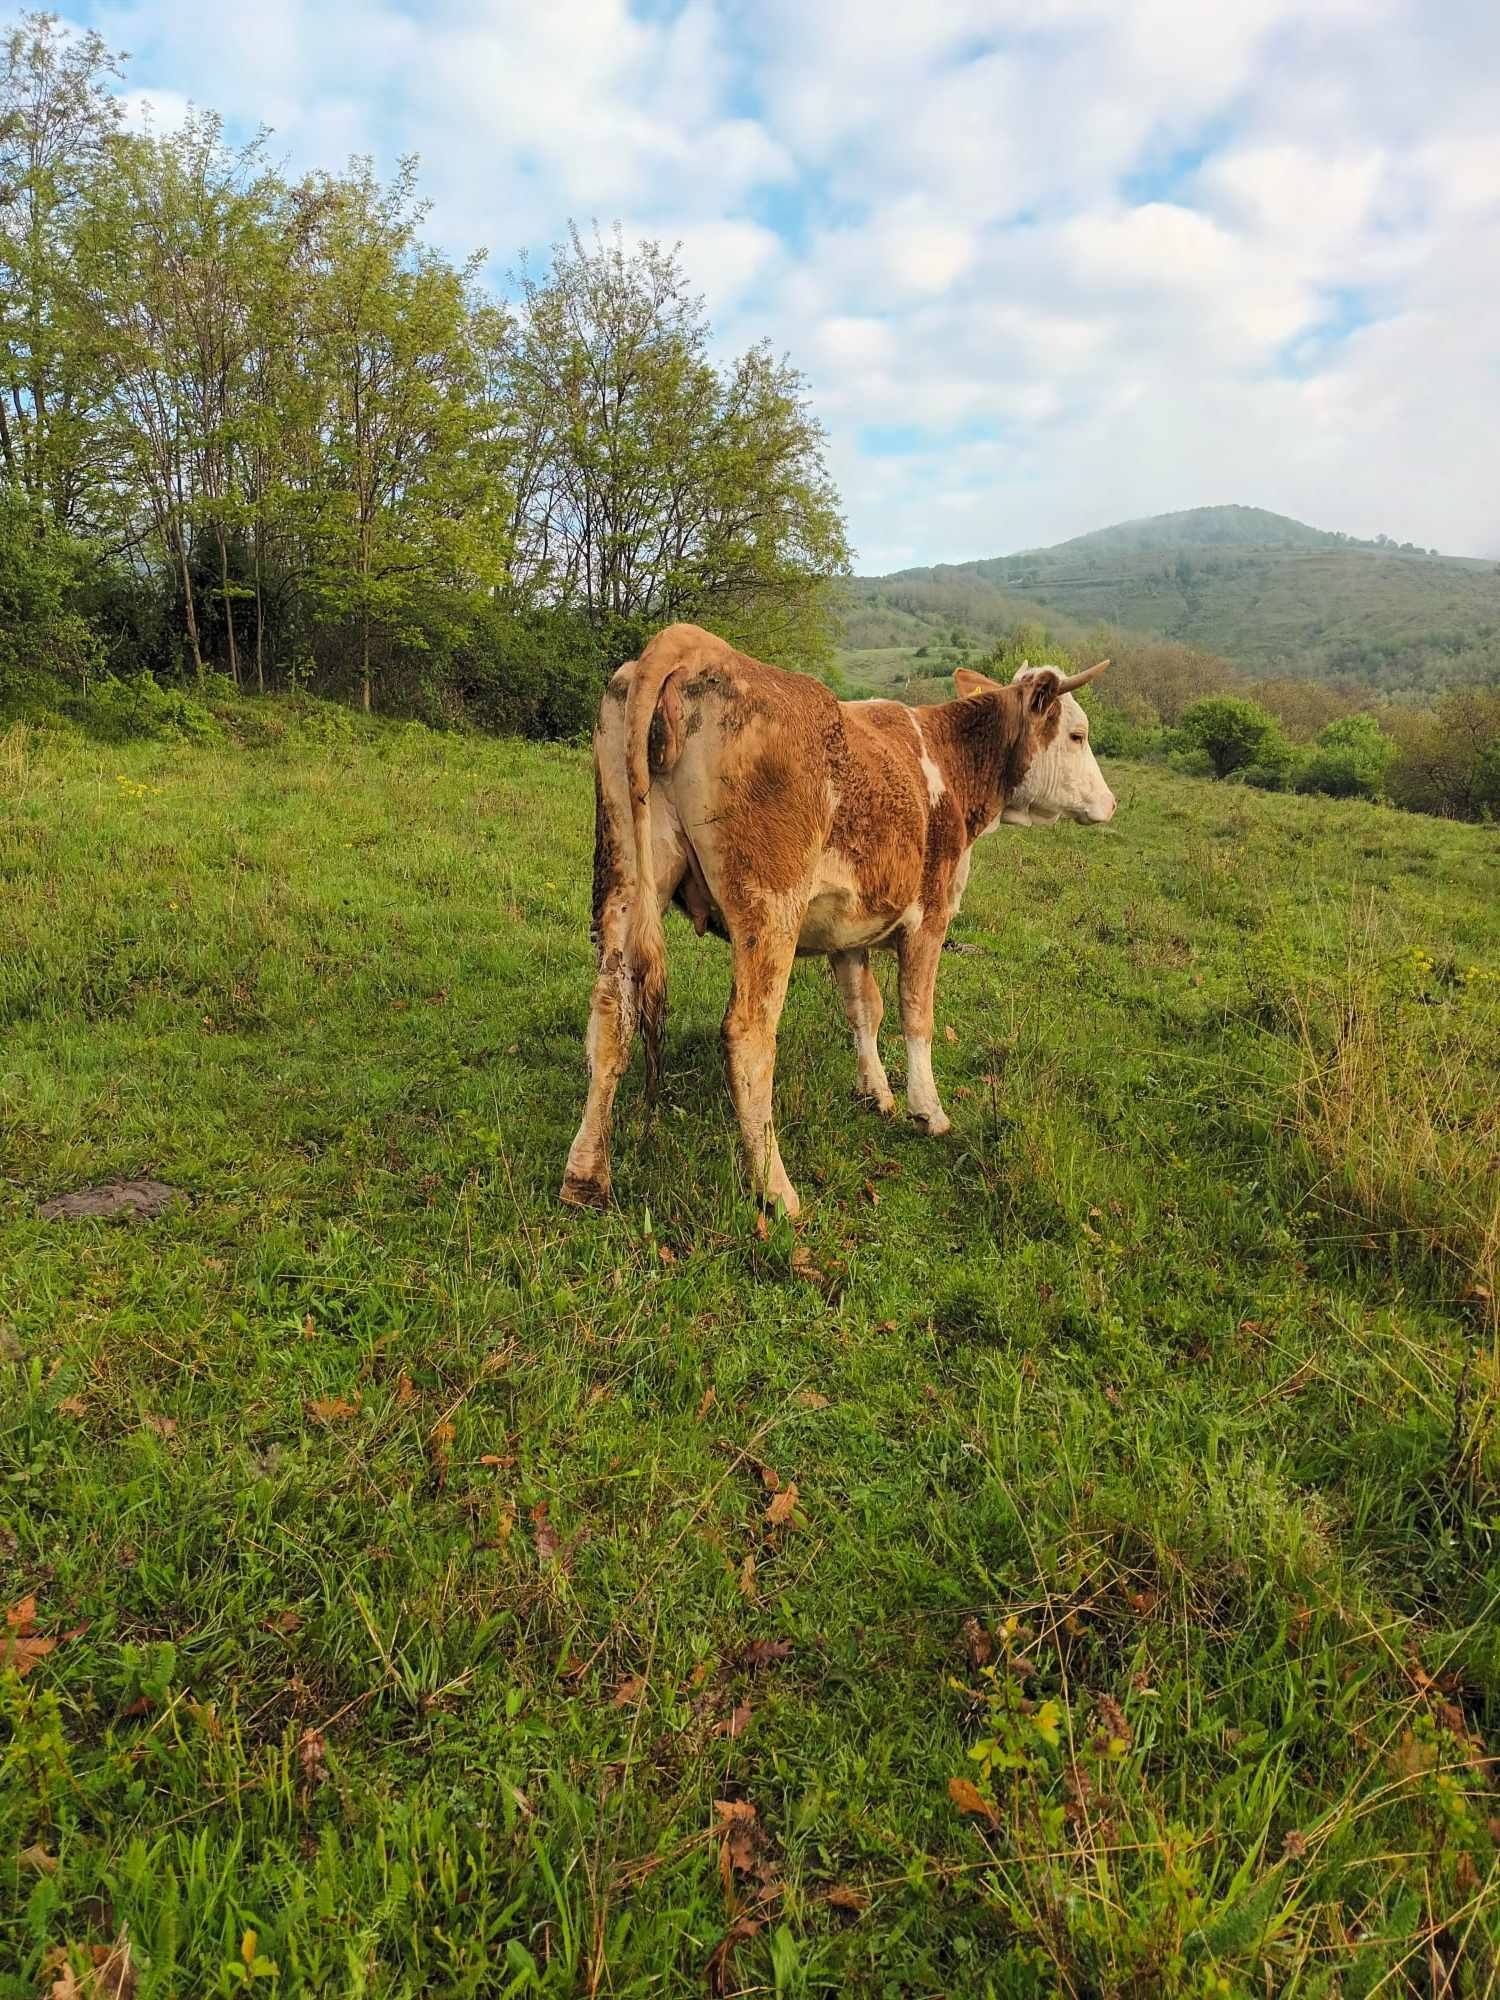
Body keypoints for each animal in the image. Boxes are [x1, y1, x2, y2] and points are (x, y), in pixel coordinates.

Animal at [564, 624, 1120, 1216]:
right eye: (1078, 735)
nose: (1111, 803)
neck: (951, 763)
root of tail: (694, 645)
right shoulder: (930, 919)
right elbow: (915, 1015)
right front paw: (928, 1110)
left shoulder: (848, 931)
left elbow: (864, 1010)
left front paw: (876, 1092)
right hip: (770, 907)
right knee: (748, 1033)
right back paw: (777, 1190)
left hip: (623, 877)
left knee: (611, 1013)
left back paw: (585, 1176)